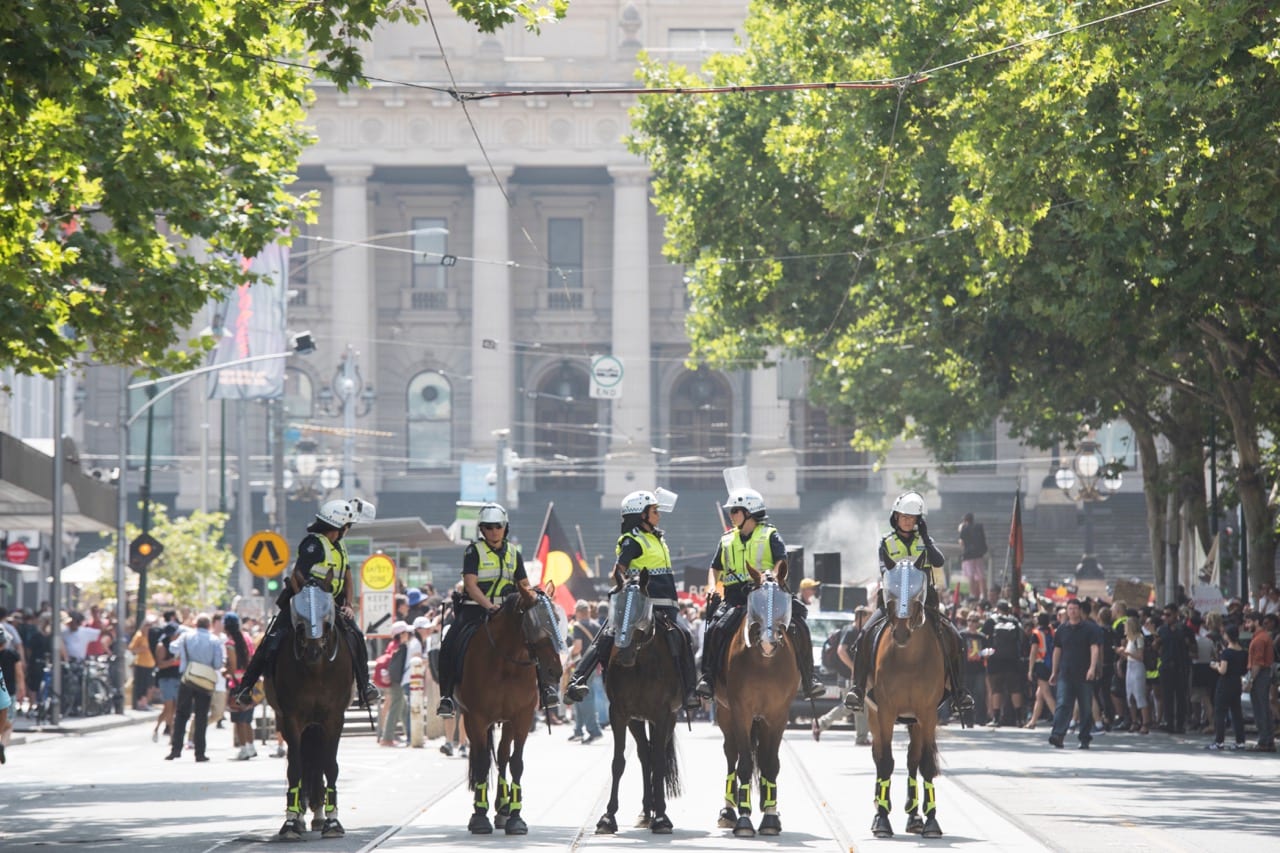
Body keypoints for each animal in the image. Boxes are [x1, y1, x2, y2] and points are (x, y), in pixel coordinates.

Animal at [264, 581, 353, 840]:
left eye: (326, 613)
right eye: (299, 614)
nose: (313, 650)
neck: (316, 670)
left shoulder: (334, 718)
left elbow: (329, 764)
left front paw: (332, 822)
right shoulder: (291, 718)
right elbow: (295, 766)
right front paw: (291, 822)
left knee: (316, 760)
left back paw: (319, 813)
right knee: (305, 760)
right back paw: (303, 814)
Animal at [458, 584, 563, 829]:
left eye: (557, 619)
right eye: (535, 623)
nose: (555, 671)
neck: (506, 663)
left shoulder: (522, 717)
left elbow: (516, 762)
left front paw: (515, 816)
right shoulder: (476, 717)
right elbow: (482, 762)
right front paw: (479, 815)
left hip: (507, 722)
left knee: (503, 754)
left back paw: (503, 808)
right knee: (480, 755)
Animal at [596, 571, 686, 829]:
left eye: (640, 609)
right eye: (616, 608)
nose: (624, 651)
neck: (640, 663)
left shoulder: (663, 715)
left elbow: (660, 761)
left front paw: (662, 816)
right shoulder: (618, 713)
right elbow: (618, 762)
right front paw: (608, 815)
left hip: (668, 719)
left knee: (656, 755)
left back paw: (655, 809)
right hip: (636, 720)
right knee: (645, 755)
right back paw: (647, 809)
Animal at [716, 568, 793, 835]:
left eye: (781, 599)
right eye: (756, 601)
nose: (769, 642)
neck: (764, 663)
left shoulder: (778, 716)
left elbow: (771, 764)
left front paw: (770, 817)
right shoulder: (741, 712)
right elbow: (745, 764)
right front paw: (744, 819)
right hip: (725, 713)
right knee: (732, 754)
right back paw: (729, 811)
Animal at [865, 558, 947, 835]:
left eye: (915, 591)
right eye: (891, 591)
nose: (900, 632)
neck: (909, 658)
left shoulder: (927, 714)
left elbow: (926, 764)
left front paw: (931, 820)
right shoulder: (886, 712)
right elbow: (885, 761)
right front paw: (881, 818)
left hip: (916, 721)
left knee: (913, 759)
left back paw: (914, 815)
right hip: (873, 715)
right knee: (879, 755)